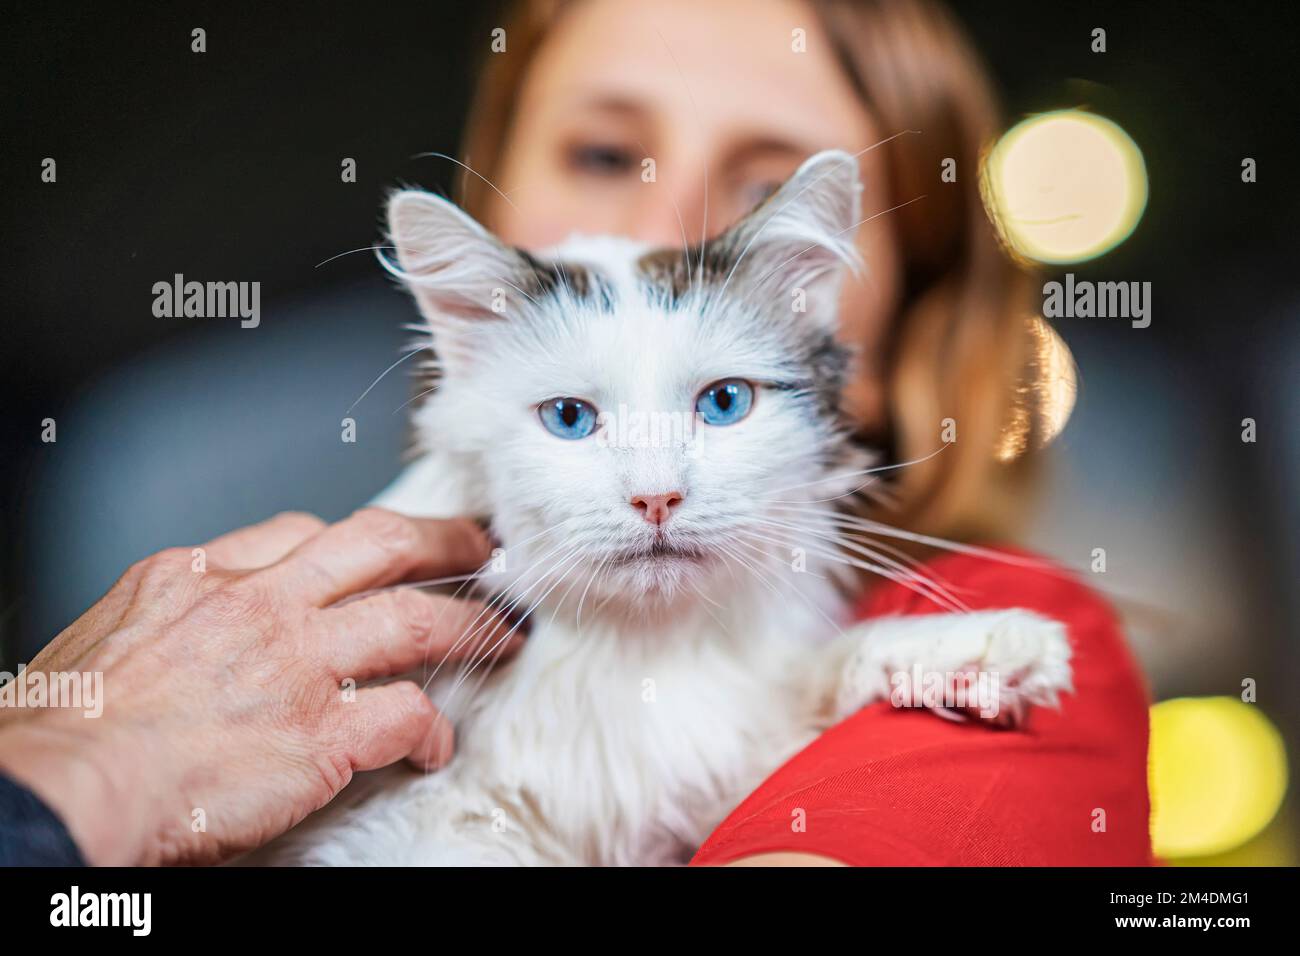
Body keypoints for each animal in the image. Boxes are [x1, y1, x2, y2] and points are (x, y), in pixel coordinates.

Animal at [269, 149, 1071, 868]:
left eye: (724, 403)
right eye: (568, 418)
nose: (656, 498)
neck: (643, 661)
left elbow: (819, 681)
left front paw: (986, 653)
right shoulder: (407, 831)